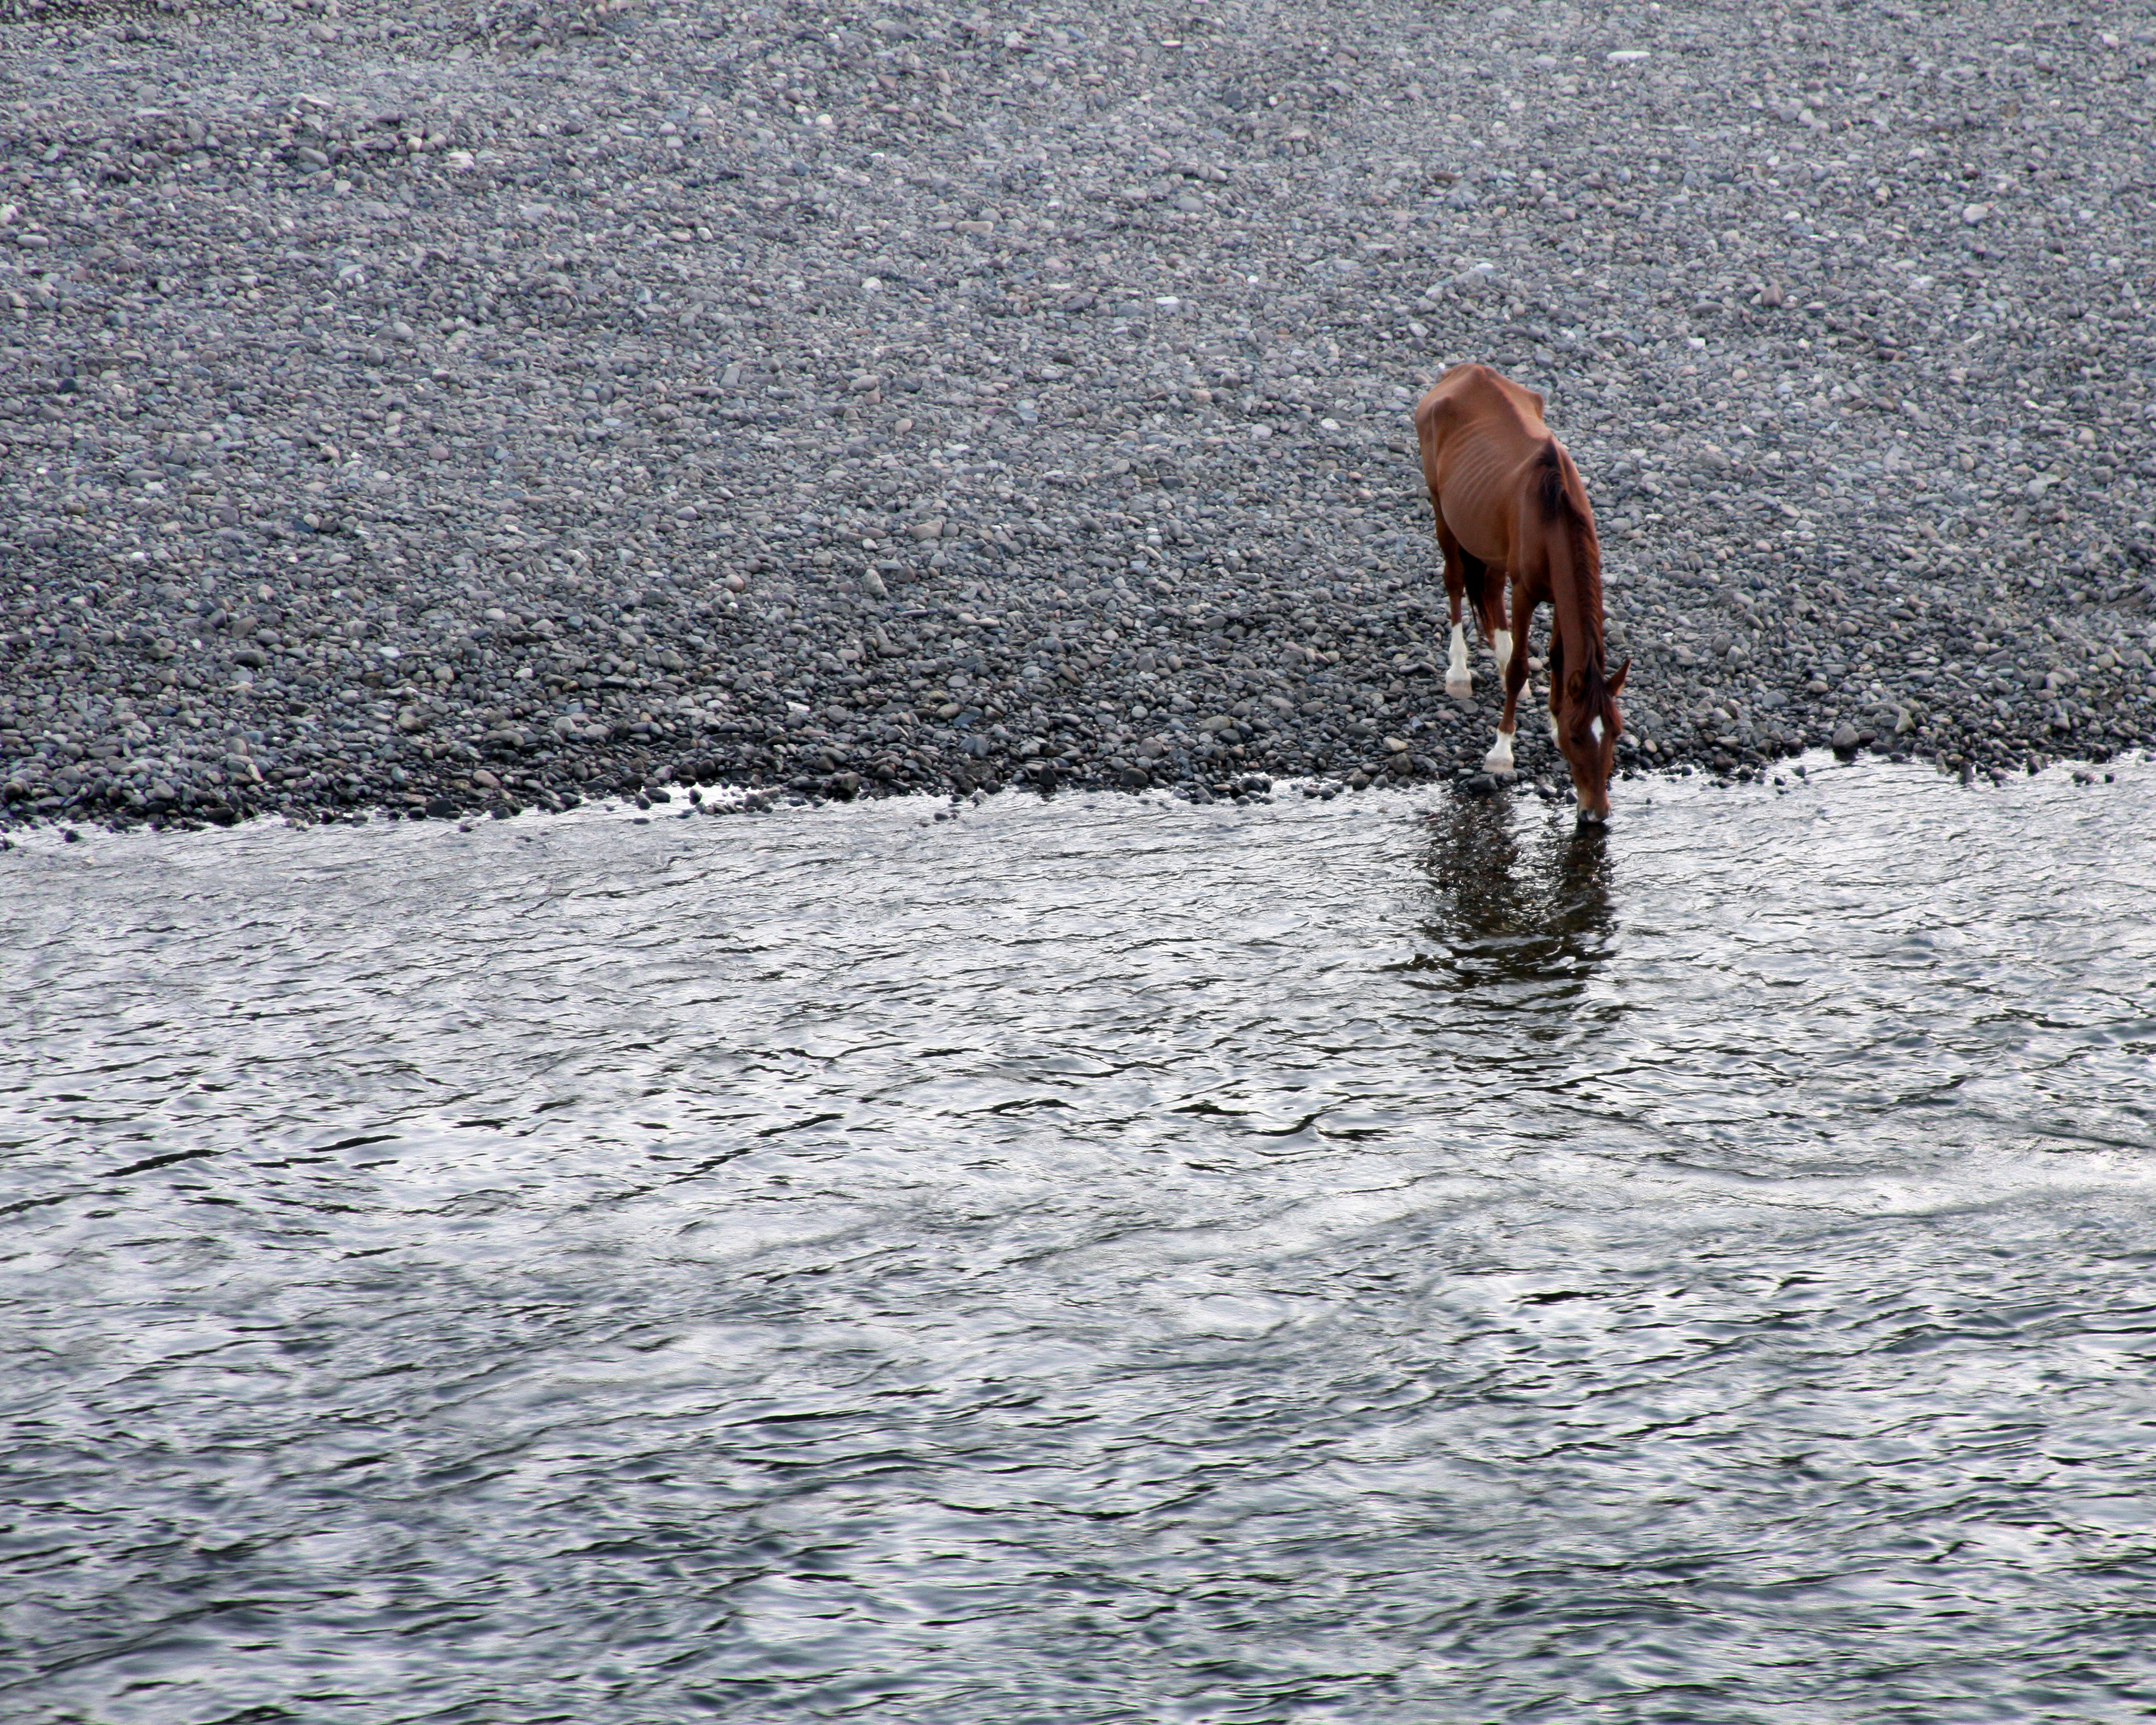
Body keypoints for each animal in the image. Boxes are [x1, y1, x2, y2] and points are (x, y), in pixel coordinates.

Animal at [1405, 362, 1621, 823]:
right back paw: (1459, 674)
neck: (1552, 511)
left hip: (1489, 538)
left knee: (1487, 587)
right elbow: (1522, 665)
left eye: (1616, 731)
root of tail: (1463, 372)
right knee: (1455, 581)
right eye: (1579, 738)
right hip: (1442, 510)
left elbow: (1558, 658)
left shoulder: (1559, 596)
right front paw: (1502, 751)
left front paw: (1552, 717)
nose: (1596, 814)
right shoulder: (1526, 593)